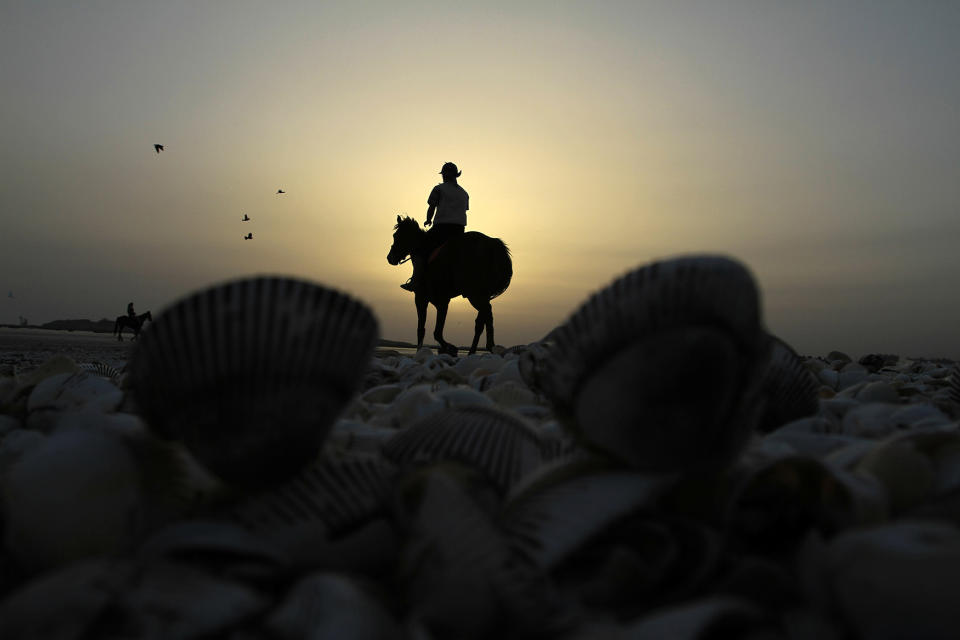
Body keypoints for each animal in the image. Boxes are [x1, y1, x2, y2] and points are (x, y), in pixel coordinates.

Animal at [388, 214, 512, 356]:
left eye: (396, 236)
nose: (389, 258)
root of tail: (493, 245)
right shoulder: (442, 301)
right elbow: (433, 331)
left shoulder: (423, 298)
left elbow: (427, 330)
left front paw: (450, 348)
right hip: (483, 295)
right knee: (482, 320)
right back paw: (475, 351)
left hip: (475, 295)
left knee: (486, 314)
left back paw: (488, 346)